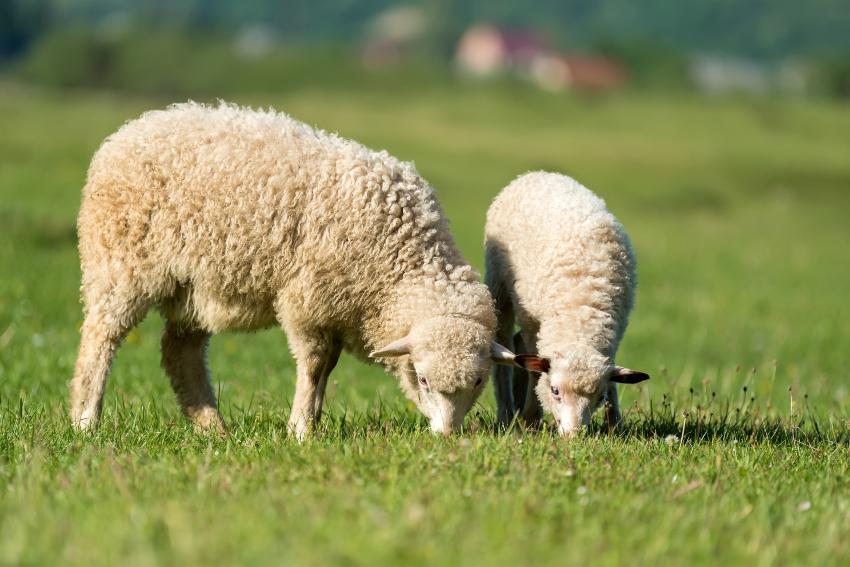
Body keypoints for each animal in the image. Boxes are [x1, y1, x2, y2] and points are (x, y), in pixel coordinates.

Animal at [71, 103, 510, 440]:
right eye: (422, 379)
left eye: (478, 381)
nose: (448, 436)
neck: (401, 261)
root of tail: (131, 130)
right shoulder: (308, 303)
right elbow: (315, 366)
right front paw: (300, 430)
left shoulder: (336, 308)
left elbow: (327, 367)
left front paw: (311, 420)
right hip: (121, 265)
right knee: (100, 338)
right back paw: (85, 421)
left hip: (194, 287)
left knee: (180, 355)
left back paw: (213, 429)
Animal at [484, 171, 648, 438]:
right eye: (555, 391)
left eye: (599, 397)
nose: (574, 435)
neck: (580, 313)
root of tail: (536, 173)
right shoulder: (533, 323)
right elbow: (535, 373)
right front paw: (531, 418)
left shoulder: (617, 330)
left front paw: (615, 424)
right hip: (500, 285)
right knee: (505, 350)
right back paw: (507, 413)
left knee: (517, 348)